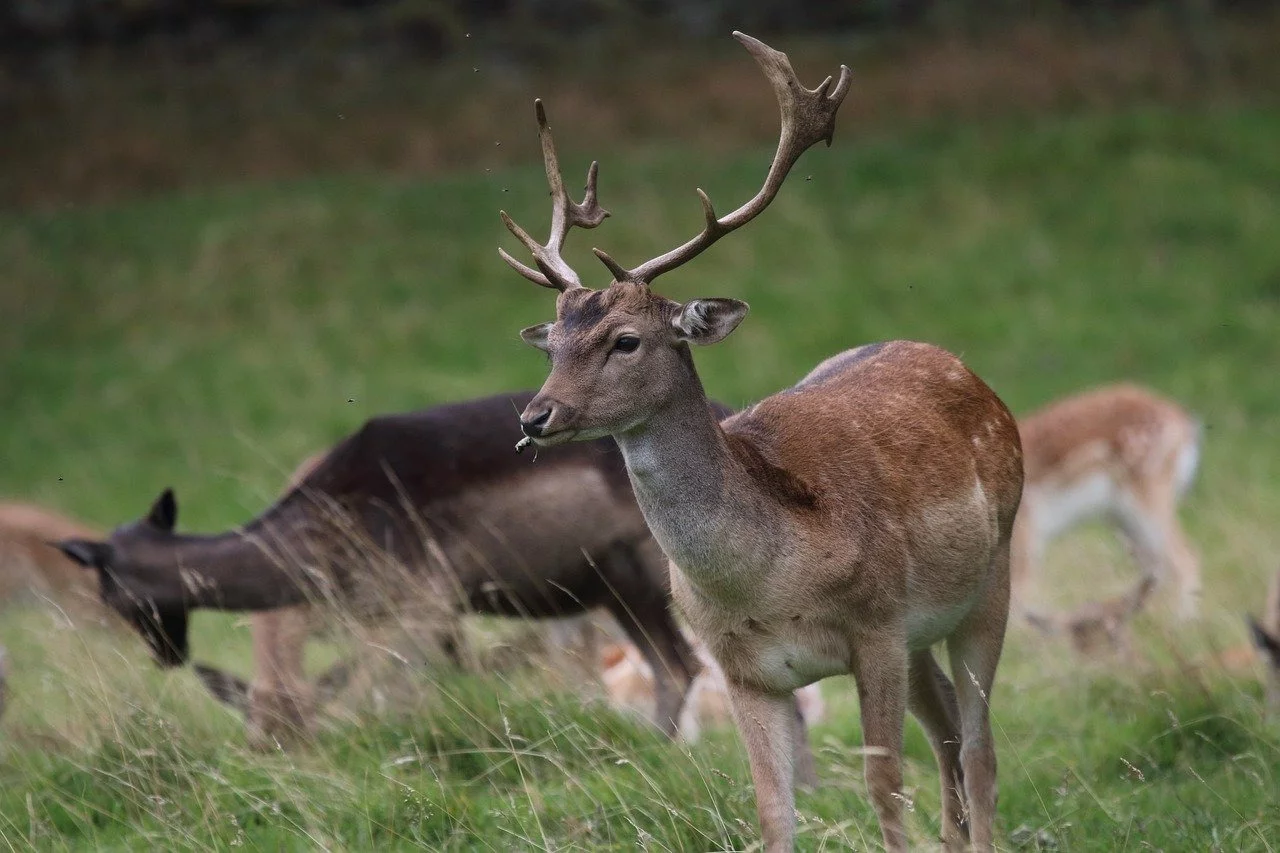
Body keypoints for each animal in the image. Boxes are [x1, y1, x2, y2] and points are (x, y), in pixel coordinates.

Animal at [60, 391, 721, 737]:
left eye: (108, 591)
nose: (166, 655)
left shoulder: (423, 597)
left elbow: (392, 696)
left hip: (656, 570)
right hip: (613, 583)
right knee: (675, 664)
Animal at [496, 28, 1018, 850]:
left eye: (626, 341)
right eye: (552, 344)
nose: (534, 417)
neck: (767, 581)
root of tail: (965, 369)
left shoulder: (876, 625)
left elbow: (882, 785)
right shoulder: (741, 666)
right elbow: (772, 809)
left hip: (991, 577)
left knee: (980, 745)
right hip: (924, 630)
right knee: (946, 731)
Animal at [1008, 384, 1198, 617]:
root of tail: (1183, 424)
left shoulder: (1024, 543)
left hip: (1148, 502)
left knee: (1185, 560)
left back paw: (1183, 623)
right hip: (1124, 519)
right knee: (1157, 569)